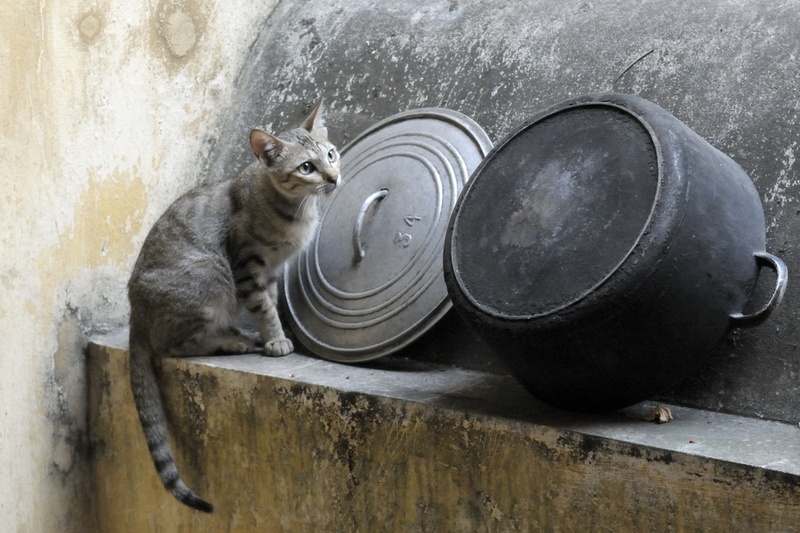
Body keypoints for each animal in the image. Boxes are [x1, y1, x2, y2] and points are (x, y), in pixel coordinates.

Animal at [126, 100, 340, 512]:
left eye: (331, 154)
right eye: (306, 167)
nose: (335, 177)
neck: (293, 210)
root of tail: (135, 316)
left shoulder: (271, 272)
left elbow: (271, 301)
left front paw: (273, 335)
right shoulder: (246, 265)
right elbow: (263, 308)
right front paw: (275, 340)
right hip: (210, 277)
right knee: (173, 346)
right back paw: (233, 341)